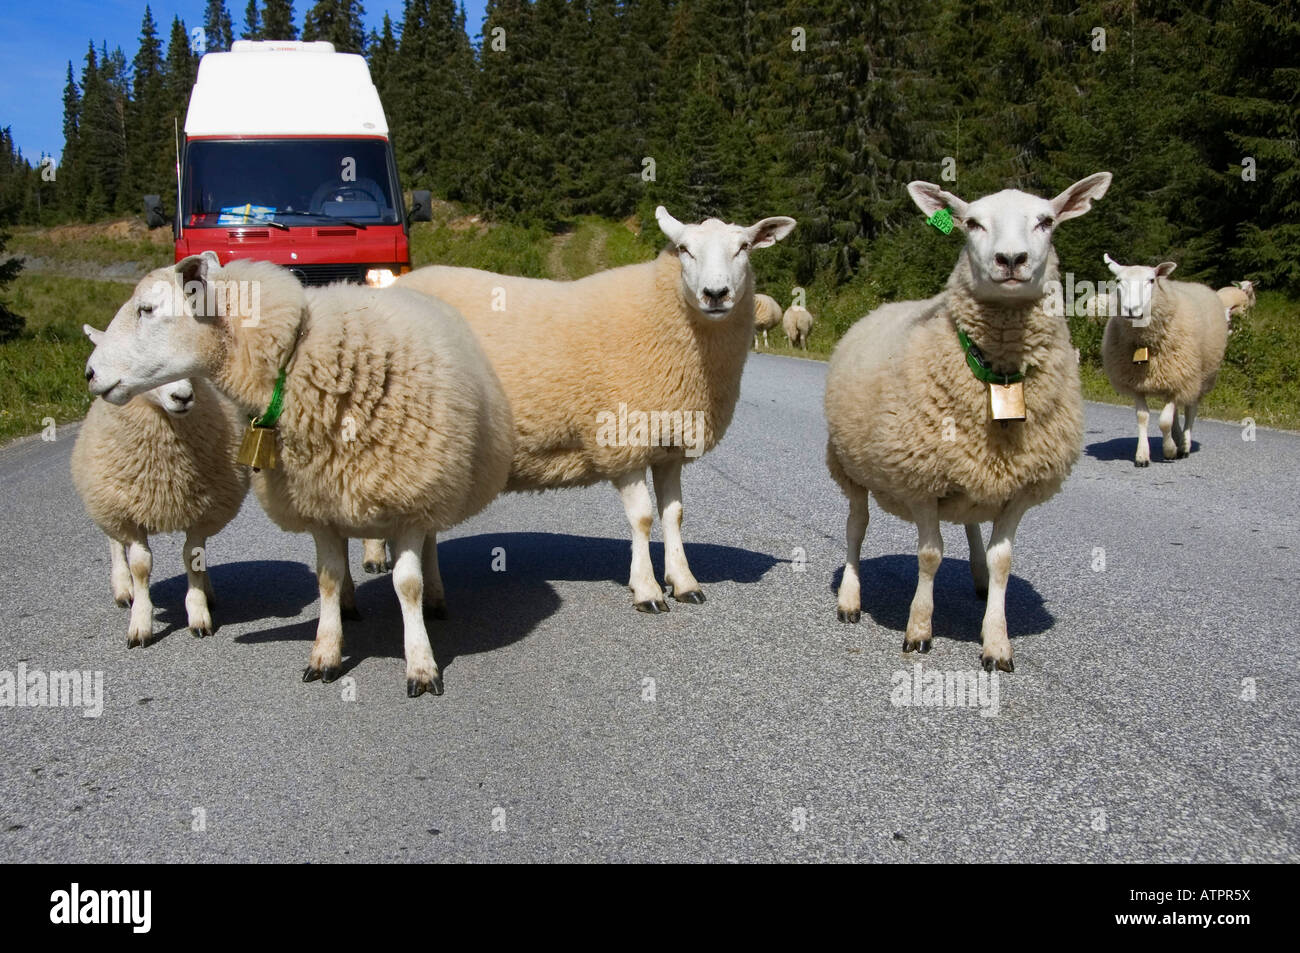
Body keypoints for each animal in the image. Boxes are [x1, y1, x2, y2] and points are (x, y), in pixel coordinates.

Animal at [71, 366, 250, 647]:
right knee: (114, 542)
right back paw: (123, 589)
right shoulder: (129, 515)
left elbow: (193, 557)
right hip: (107, 503)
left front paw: (198, 614)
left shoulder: (201, 512)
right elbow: (140, 566)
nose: (183, 397)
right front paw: (140, 624)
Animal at [395, 204, 795, 613]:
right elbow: (643, 518)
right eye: (684, 249)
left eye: (743, 248)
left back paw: (433, 597)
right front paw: (647, 590)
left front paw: (684, 582)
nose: (716, 294)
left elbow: (674, 515)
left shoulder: (668, 445)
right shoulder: (623, 439)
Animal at [826, 171, 1112, 670]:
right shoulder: (921, 479)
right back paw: (850, 599)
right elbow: (929, 556)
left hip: (973, 476)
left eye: (1046, 221)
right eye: (972, 223)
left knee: (972, 524)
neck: (999, 373)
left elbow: (1002, 561)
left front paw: (996, 643)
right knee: (856, 527)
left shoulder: (1018, 488)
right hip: (850, 467)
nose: (1011, 260)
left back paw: (977, 579)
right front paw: (919, 630)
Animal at [1097, 252, 1227, 465]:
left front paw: (1170, 450)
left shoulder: (1179, 377)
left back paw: (1184, 445)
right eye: (1118, 280)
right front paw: (1142, 455)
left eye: (1151, 280)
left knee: (1190, 410)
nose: (1131, 309)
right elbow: (1143, 417)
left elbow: (1164, 421)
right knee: (1175, 411)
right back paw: (1177, 437)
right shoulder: (1137, 383)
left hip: (1197, 378)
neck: (1145, 343)